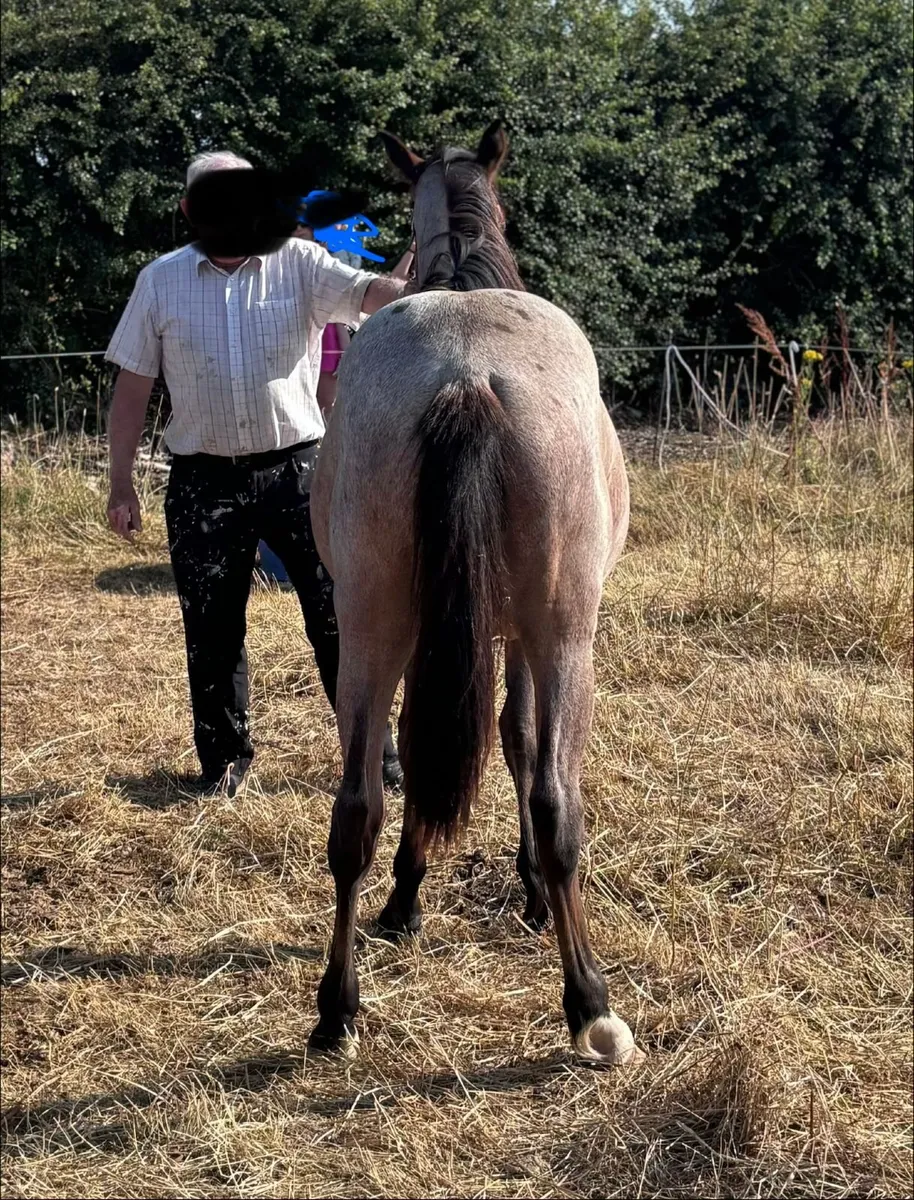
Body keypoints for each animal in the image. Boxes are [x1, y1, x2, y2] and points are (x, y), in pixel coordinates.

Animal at [309, 120, 643, 1067]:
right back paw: (589, 1002)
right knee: (558, 799)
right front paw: (524, 892)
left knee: (357, 808)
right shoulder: (524, 637)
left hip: (370, 627)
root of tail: (464, 374)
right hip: (566, 636)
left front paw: (405, 901)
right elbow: (518, 739)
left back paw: (336, 1010)